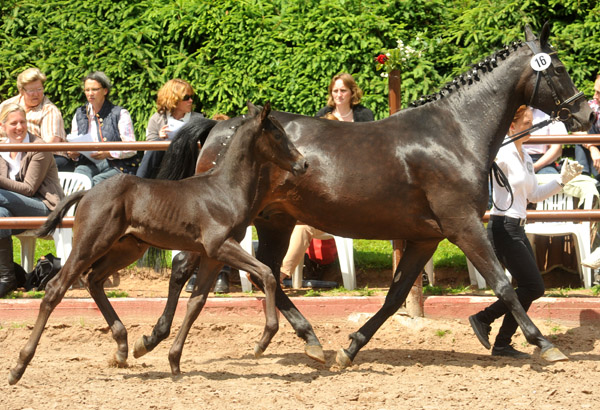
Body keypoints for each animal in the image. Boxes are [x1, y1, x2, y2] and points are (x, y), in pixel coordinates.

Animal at [8, 102, 310, 384]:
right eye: (278, 135)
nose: (304, 163)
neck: (224, 189)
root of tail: (87, 193)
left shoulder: (213, 255)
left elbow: (196, 303)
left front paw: (174, 361)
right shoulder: (220, 246)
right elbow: (267, 274)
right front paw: (264, 340)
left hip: (127, 248)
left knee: (93, 280)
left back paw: (122, 347)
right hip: (90, 244)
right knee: (56, 288)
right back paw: (18, 367)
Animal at [137, 24, 596, 370]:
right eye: (557, 67)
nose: (584, 114)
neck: (454, 133)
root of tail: (217, 128)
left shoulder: (427, 238)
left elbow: (395, 297)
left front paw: (350, 348)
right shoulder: (463, 226)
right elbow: (503, 284)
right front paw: (544, 344)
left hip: (273, 221)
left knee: (264, 271)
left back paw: (311, 341)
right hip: (231, 224)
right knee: (189, 268)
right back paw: (153, 340)